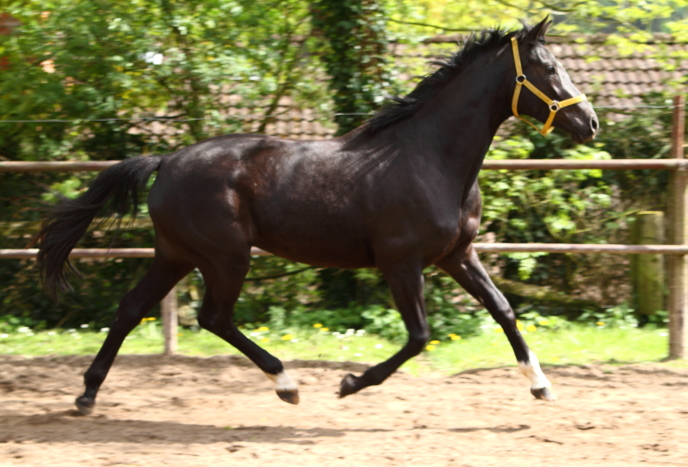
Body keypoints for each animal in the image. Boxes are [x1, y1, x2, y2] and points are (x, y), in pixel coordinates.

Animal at [36, 18, 596, 414]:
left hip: (176, 253)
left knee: (132, 309)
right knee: (213, 317)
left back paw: (87, 395)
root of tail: (167, 161)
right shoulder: (401, 262)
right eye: (548, 68)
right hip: (225, 256)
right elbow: (419, 336)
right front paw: (350, 384)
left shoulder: (457, 254)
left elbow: (503, 309)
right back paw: (287, 384)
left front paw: (541, 385)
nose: (589, 122)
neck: (431, 158)